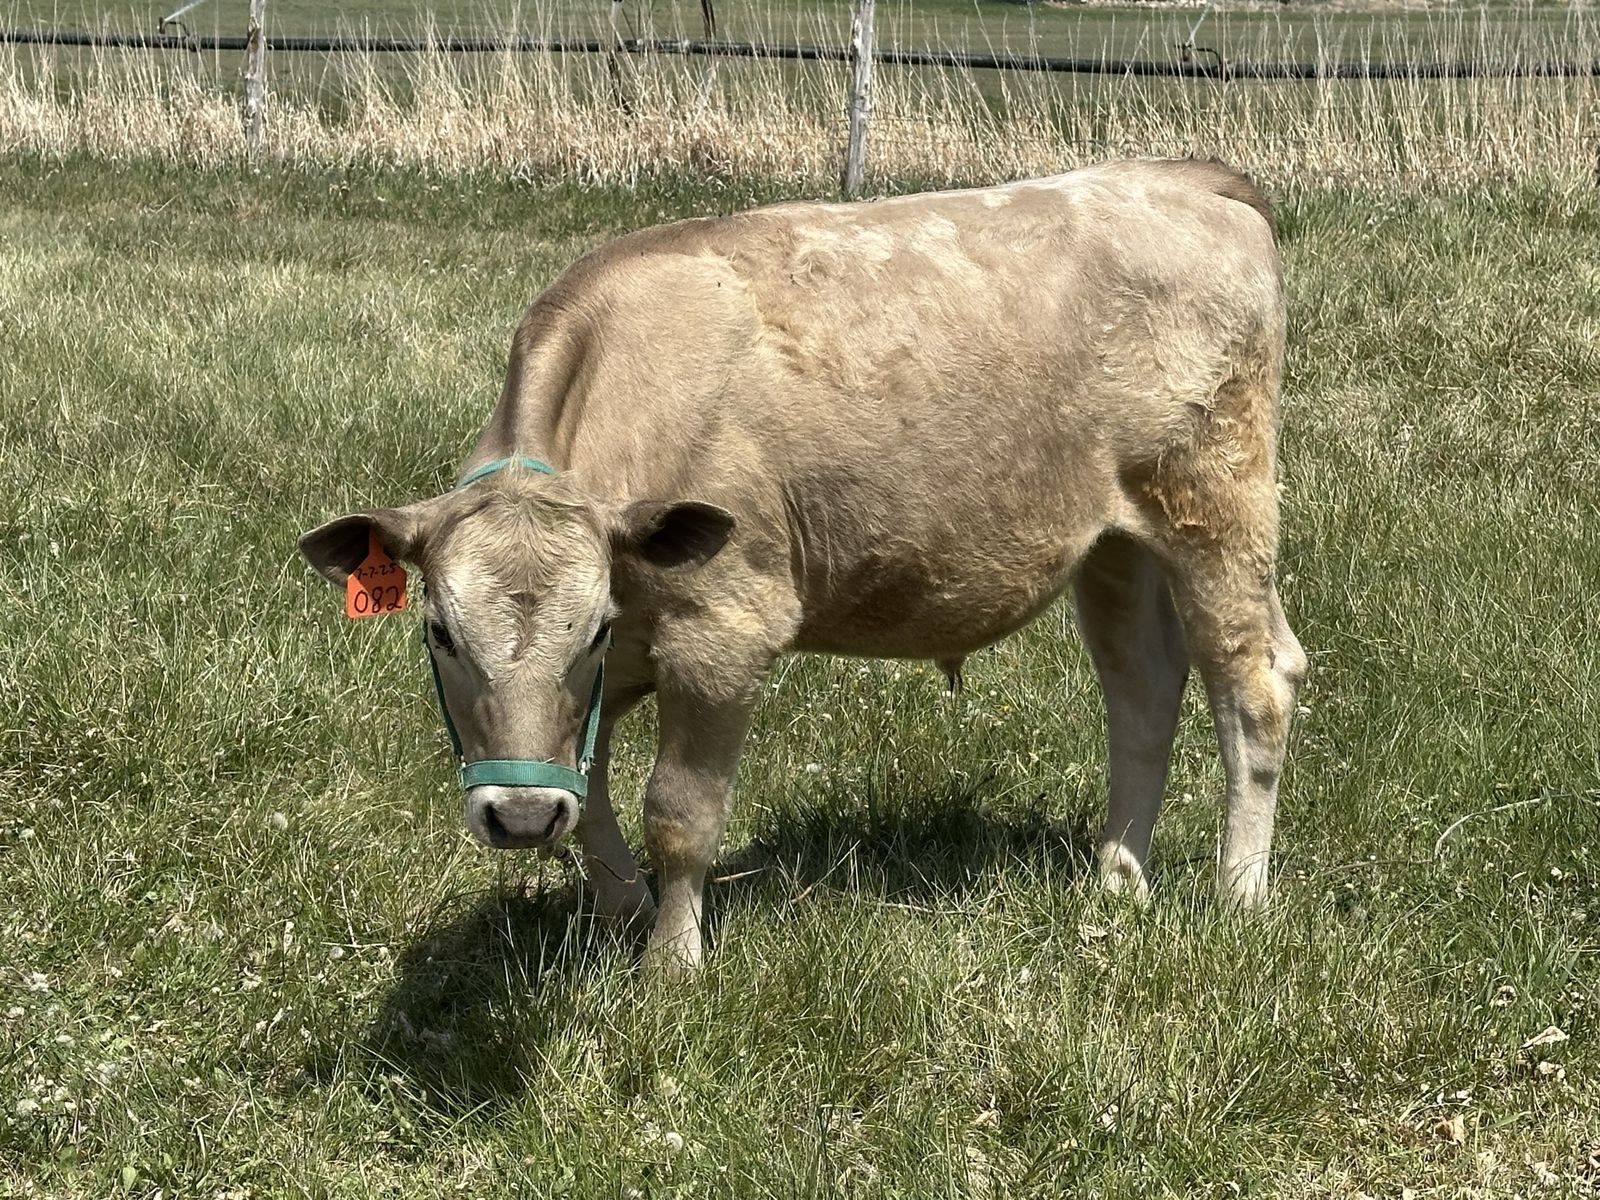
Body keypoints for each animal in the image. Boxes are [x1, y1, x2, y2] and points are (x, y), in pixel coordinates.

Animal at [298, 158, 1307, 973]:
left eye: (591, 627)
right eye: (440, 632)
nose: (515, 818)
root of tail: (1183, 177)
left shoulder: (722, 632)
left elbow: (680, 814)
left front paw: (672, 965)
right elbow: (592, 793)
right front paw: (620, 910)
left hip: (1216, 500)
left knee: (1253, 685)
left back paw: (1240, 896)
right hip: (1114, 544)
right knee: (1143, 693)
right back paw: (1117, 880)